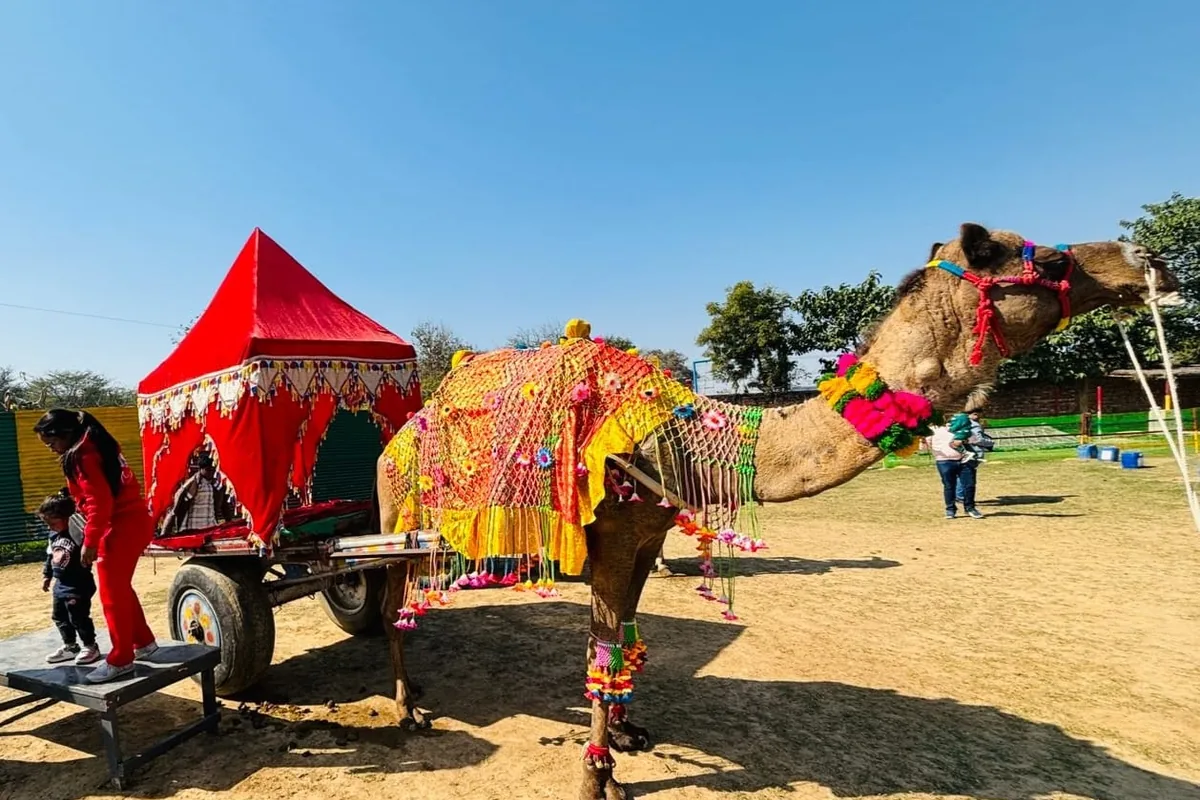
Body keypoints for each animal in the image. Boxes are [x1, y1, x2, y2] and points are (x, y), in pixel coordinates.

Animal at [375, 223, 1176, 799]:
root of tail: (404, 427)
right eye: (1051, 260)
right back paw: (408, 707)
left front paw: (630, 736)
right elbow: (600, 647)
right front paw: (597, 780)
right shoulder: (608, 535)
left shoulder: (646, 535)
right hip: (398, 512)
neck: (687, 435)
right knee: (390, 606)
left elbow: (628, 635)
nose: (1152, 259)